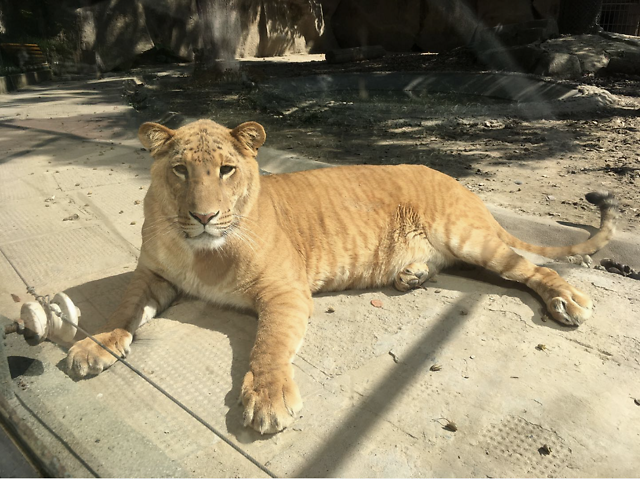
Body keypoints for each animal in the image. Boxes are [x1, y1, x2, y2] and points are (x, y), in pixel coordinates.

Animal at [66, 119, 620, 436]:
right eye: (180, 170)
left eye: (226, 170)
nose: (204, 216)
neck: (199, 251)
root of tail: (461, 184)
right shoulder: (151, 274)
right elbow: (122, 309)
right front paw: (94, 345)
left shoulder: (285, 290)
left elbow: (268, 345)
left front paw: (268, 399)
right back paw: (412, 274)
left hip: (469, 237)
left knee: (533, 267)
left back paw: (569, 300)